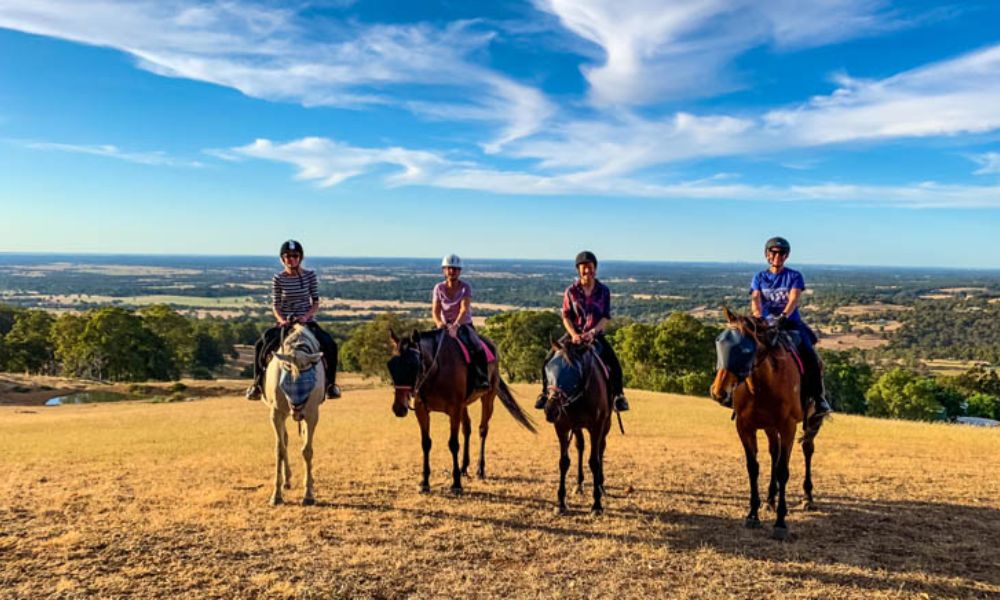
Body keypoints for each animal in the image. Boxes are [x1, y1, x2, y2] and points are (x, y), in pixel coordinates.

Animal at [261, 324, 326, 506]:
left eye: (308, 381)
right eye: (286, 380)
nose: (296, 407)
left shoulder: (311, 414)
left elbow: (307, 450)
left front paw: (308, 494)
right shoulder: (276, 414)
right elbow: (280, 450)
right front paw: (276, 495)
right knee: (285, 439)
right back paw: (286, 480)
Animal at [387, 329, 536, 495]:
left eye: (413, 365)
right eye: (391, 366)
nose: (399, 408)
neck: (436, 370)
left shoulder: (454, 410)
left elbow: (453, 444)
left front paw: (456, 484)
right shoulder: (422, 410)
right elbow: (426, 443)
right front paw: (425, 483)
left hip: (488, 397)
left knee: (482, 429)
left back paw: (479, 469)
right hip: (464, 405)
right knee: (467, 429)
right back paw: (464, 467)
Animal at [543, 337, 613, 516]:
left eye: (574, 372)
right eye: (549, 368)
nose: (550, 410)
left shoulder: (597, 426)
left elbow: (594, 461)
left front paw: (596, 505)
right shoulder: (562, 426)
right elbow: (563, 462)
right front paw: (561, 502)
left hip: (606, 424)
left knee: (601, 448)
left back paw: (601, 485)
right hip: (577, 426)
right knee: (580, 446)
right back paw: (579, 484)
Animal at [710, 307, 823, 540]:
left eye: (744, 350)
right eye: (719, 343)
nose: (718, 393)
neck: (761, 384)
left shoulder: (788, 427)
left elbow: (783, 471)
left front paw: (780, 523)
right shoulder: (744, 426)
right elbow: (753, 467)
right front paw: (753, 514)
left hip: (810, 421)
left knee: (807, 449)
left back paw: (807, 497)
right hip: (770, 427)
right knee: (774, 452)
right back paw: (770, 499)